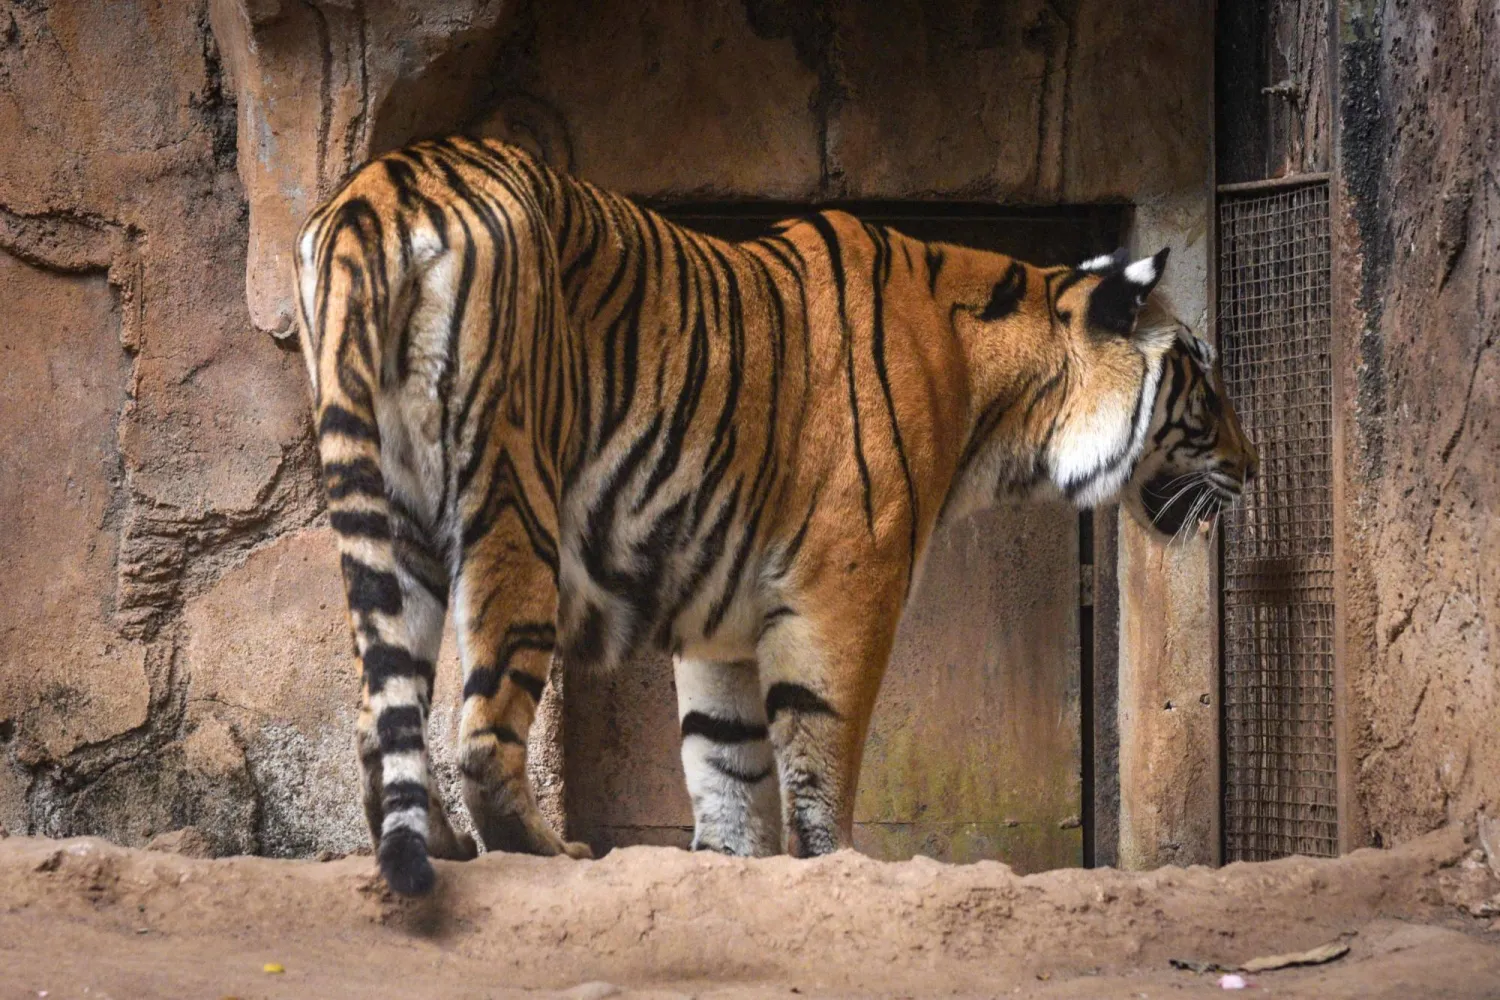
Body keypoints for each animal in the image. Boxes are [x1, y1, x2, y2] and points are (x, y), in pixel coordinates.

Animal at [292, 135, 1257, 895]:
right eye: (1204, 378)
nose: (1251, 472)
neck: (1000, 403)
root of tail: (381, 186)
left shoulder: (720, 612)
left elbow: (724, 760)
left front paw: (728, 864)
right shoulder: (847, 587)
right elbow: (820, 753)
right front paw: (832, 865)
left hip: (396, 520)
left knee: (377, 720)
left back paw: (441, 846)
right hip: (512, 498)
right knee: (482, 739)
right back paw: (543, 852)